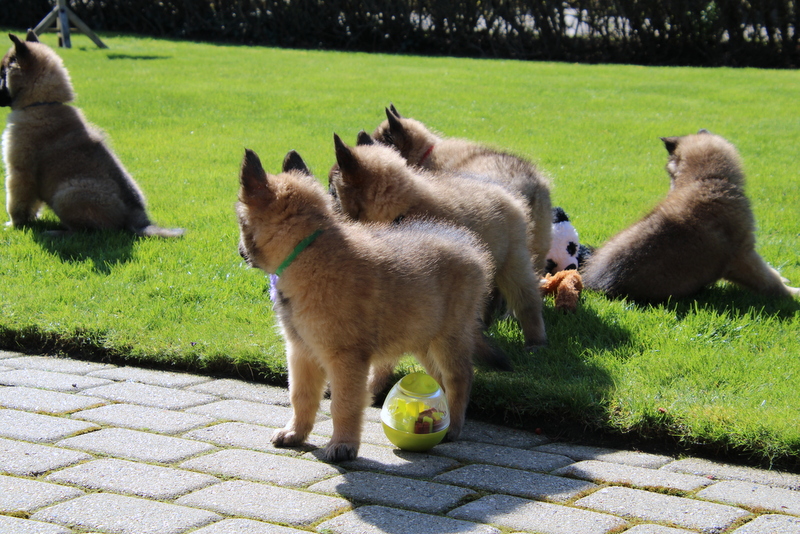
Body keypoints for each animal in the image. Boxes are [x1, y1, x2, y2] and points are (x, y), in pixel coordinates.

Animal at [1, 32, 183, 237]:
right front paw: (30, 220)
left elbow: (16, 203)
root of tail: (138, 218)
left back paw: (56, 233)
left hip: (67, 194)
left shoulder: (19, 172)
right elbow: (33, 205)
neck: (42, 104)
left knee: (88, 231)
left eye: (2, 74)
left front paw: (14, 225)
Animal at [237, 148, 508, 462]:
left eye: (240, 220)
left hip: (449, 338)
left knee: (459, 377)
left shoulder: (346, 358)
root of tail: (471, 248)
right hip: (422, 336)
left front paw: (342, 445)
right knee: (438, 377)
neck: (307, 251)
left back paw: (453, 427)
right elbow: (301, 396)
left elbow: (343, 403)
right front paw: (295, 432)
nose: (240, 252)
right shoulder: (301, 351)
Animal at [330, 133, 547, 348]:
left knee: (527, 299)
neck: (404, 208)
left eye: (333, 192)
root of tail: (508, 192)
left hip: (513, 261)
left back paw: (535, 341)